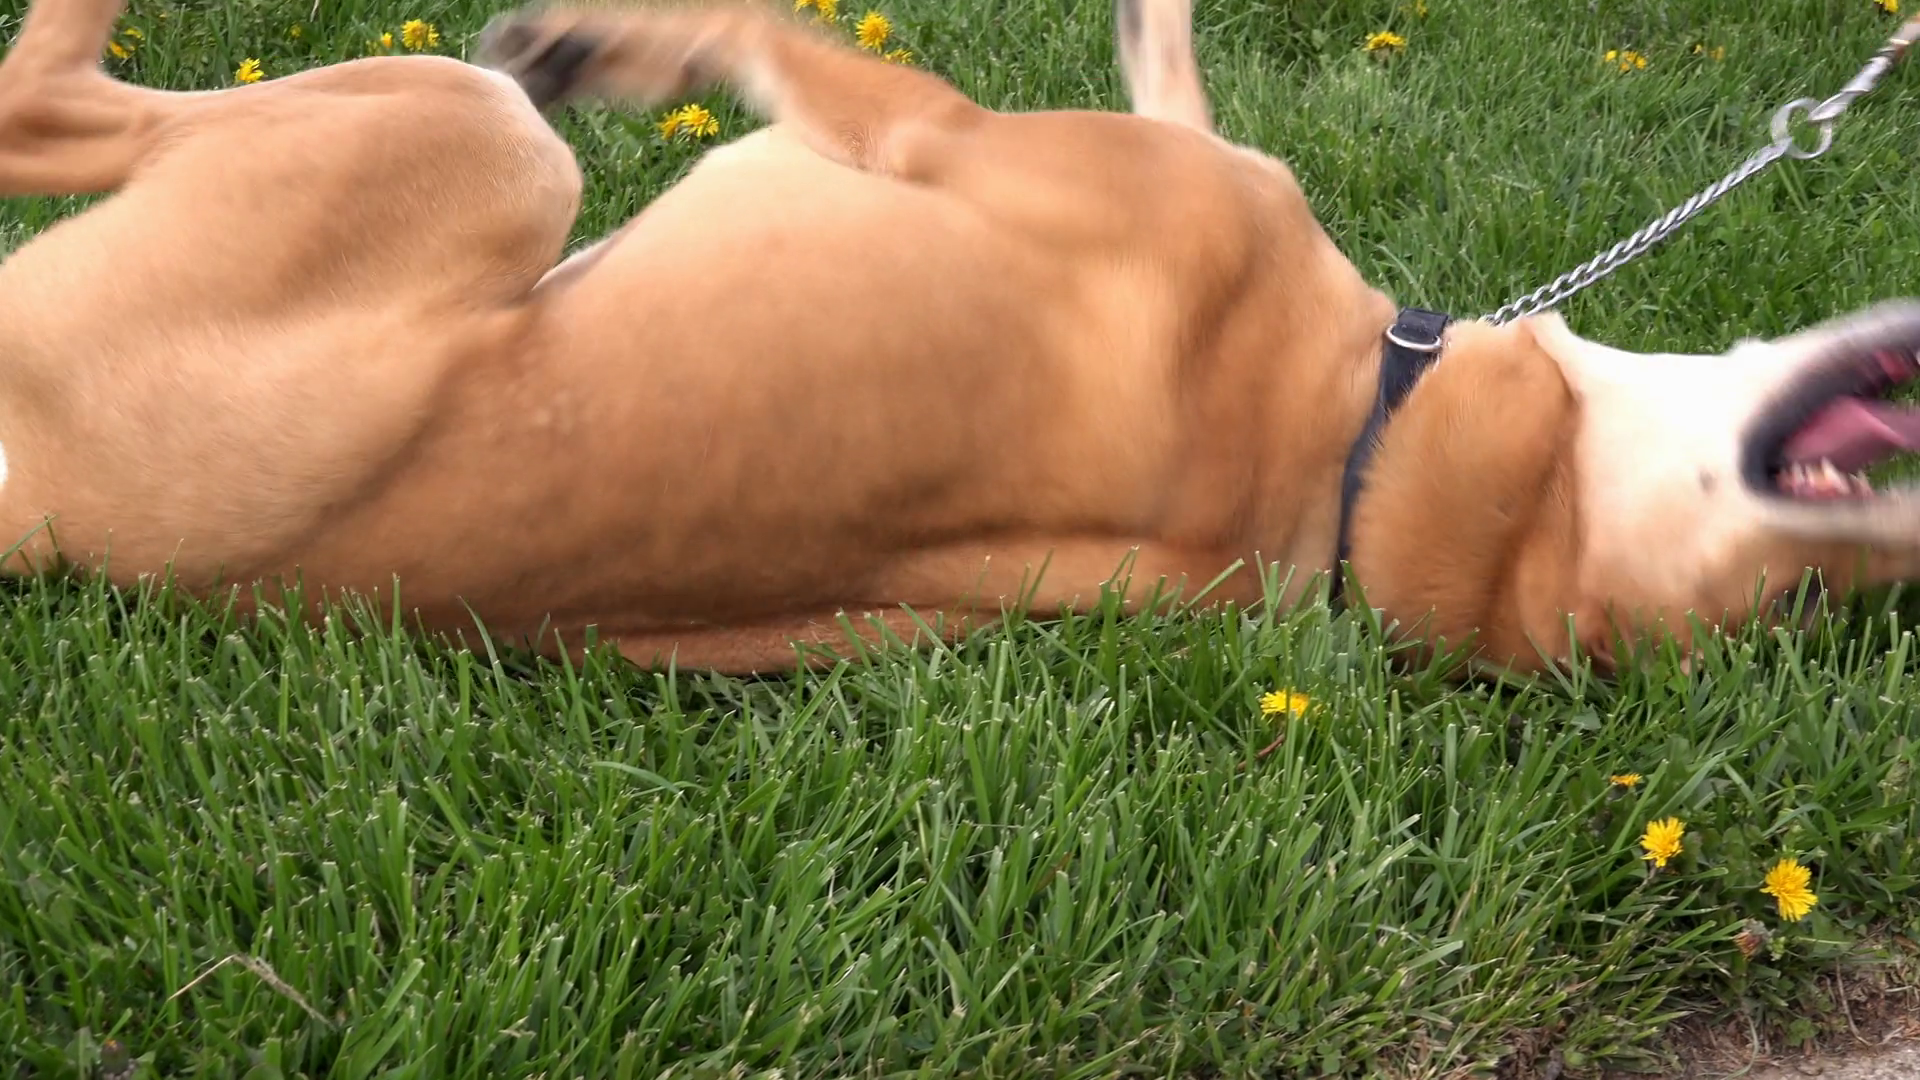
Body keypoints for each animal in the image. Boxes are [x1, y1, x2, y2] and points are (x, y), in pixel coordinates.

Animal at [0, 0, 1916, 676]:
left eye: (1806, 587)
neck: (1363, 455)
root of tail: (45, 513)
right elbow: (1170, 45)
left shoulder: (939, 137)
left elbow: (759, 36)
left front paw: (627, 34)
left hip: (466, 135)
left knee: (38, 100)